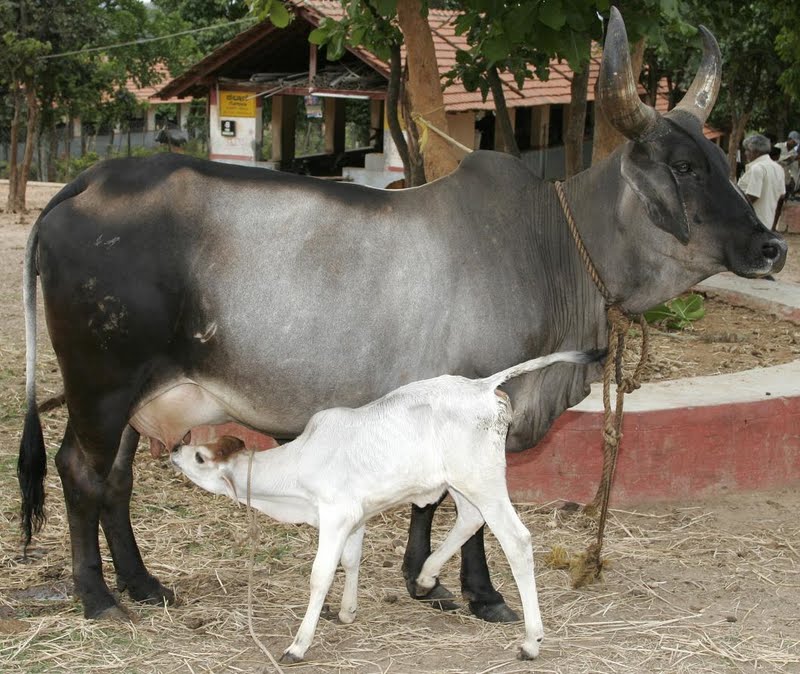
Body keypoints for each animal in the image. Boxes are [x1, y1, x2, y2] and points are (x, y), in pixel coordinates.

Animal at [18, 7, 788, 624]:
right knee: (78, 471)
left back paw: (145, 584)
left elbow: (429, 499)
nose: (772, 247)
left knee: (116, 481)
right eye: (683, 166)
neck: (554, 246)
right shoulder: (482, 404)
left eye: (721, 157)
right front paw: (482, 593)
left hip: (139, 396)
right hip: (101, 384)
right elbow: (466, 510)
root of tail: (82, 185)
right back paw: (99, 598)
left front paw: (425, 581)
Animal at [173, 352, 600, 660]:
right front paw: (347, 611)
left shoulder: (336, 514)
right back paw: (425, 577)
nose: (176, 447)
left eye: (200, 458)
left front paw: (298, 645)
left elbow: (320, 574)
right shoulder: (355, 516)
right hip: (464, 483)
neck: (296, 470)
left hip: (484, 481)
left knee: (517, 540)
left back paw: (531, 641)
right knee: (469, 519)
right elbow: (351, 561)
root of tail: (482, 386)